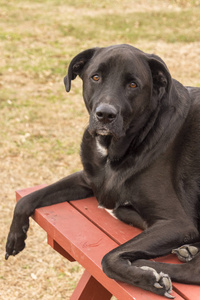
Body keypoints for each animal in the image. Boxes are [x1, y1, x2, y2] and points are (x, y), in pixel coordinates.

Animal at [5, 44, 200, 298]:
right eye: (95, 77)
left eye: (133, 84)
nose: (105, 115)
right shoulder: (88, 179)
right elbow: (27, 199)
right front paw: (15, 237)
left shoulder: (178, 222)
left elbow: (108, 258)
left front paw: (148, 277)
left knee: (193, 271)